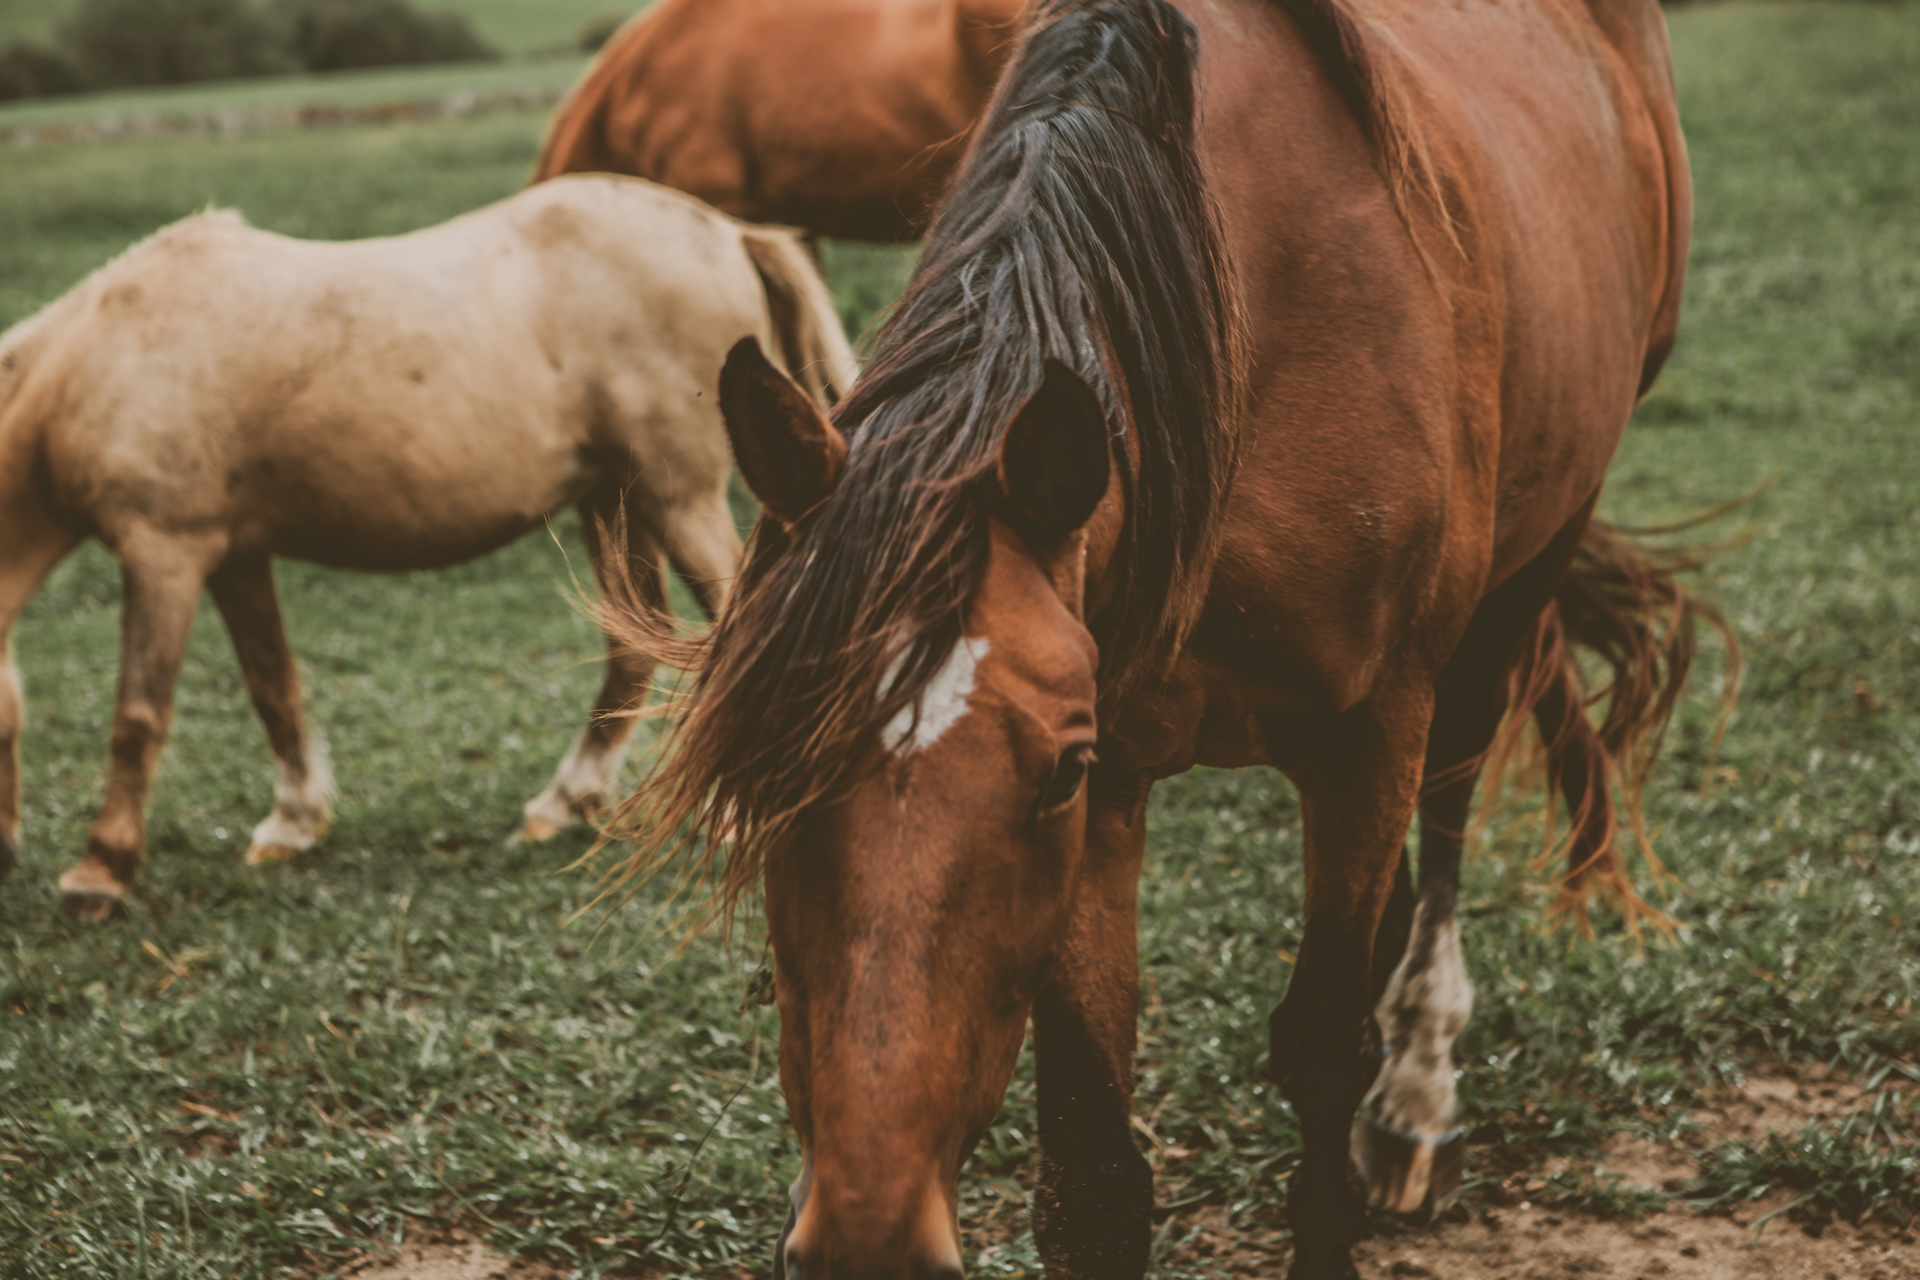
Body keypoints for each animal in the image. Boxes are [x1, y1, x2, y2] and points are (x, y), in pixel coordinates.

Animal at [0, 175, 856, 924]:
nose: (4, 857)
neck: (106, 350)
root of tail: (731, 233)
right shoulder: (237, 556)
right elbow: (273, 685)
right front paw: (294, 822)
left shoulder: (164, 552)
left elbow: (138, 716)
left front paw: (100, 871)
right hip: (617, 503)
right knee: (636, 648)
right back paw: (563, 802)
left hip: (677, 499)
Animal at [610, 0, 1712, 1274]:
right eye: (757, 779)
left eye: (1054, 773)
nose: (865, 1238)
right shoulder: (1122, 771)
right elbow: (1090, 1166)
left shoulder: (1356, 730)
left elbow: (1321, 1044)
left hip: (1520, 578)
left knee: (1449, 797)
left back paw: (1416, 1096)